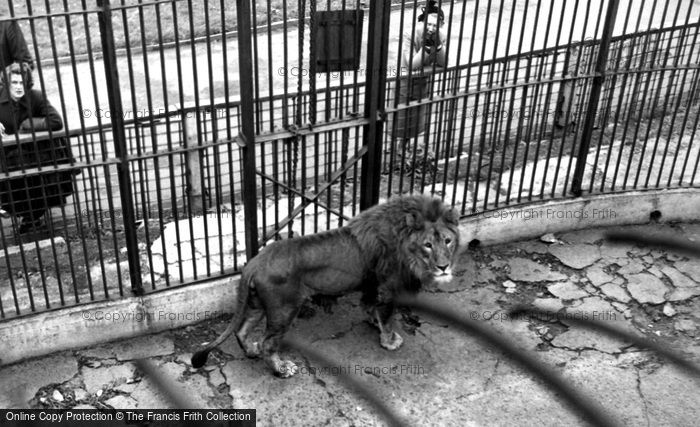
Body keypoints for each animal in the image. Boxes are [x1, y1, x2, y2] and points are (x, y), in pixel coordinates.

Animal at [191, 194, 460, 378]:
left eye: (447, 241)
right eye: (428, 245)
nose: (444, 267)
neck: (405, 243)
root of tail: (254, 262)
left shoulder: (371, 284)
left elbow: (371, 306)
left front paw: (373, 322)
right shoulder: (386, 287)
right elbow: (386, 315)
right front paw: (390, 341)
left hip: (258, 303)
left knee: (242, 330)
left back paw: (252, 351)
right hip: (284, 308)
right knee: (268, 342)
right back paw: (281, 369)